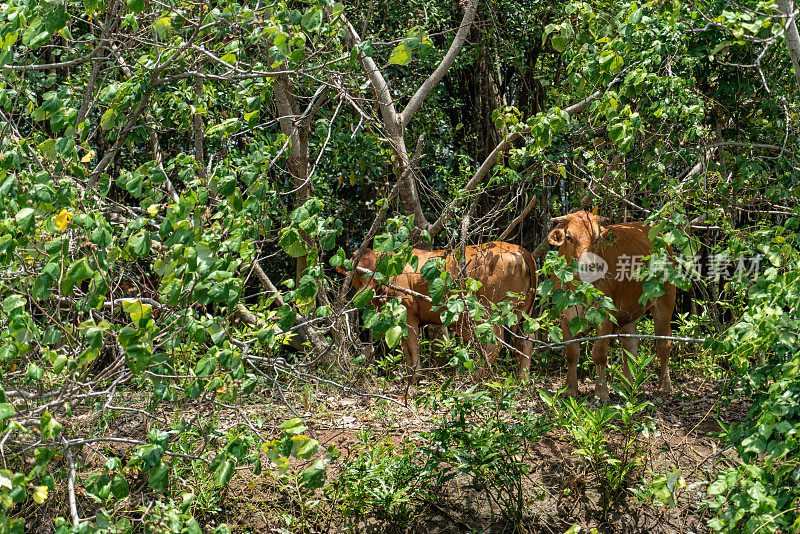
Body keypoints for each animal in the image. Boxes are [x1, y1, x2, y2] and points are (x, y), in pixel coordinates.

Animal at [338, 243, 536, 382]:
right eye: (355, 271)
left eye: (376, 270)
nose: (366, 292)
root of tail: (517, 248)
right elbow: (404, 346)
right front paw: (408, 374)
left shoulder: (408, 312)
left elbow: (412, 345)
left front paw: (415, 376)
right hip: (523, 314)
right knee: (526, 341)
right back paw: (522, 381)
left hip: (491, 311)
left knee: (495, 343)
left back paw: (478, 375)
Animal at [548, 210, 672, 402]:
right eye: (569, 237)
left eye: (597, 238)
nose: (587, 266)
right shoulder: (565, 317)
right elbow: (571, 353)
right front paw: (569, 389)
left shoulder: (604, 316)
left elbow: (599, 354)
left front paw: (601, 392)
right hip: (628, 310)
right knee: (630, 344)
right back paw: (627, 386)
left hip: (665, 300)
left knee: (663, 344)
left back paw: (664, 386)